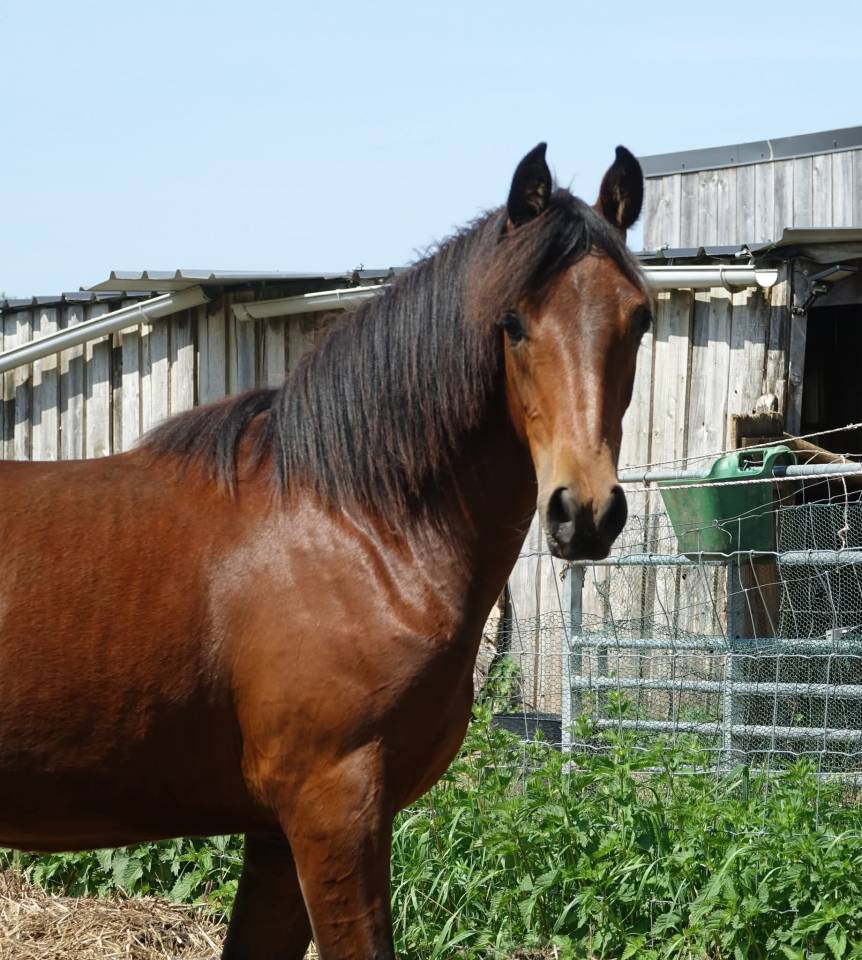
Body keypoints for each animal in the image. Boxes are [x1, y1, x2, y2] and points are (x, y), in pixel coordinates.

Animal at [0, 142, 650, 959]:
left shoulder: (277, 836)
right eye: (513, 323)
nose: (585, 511)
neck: (356, 529)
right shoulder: (334, 813)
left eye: (640, 319)